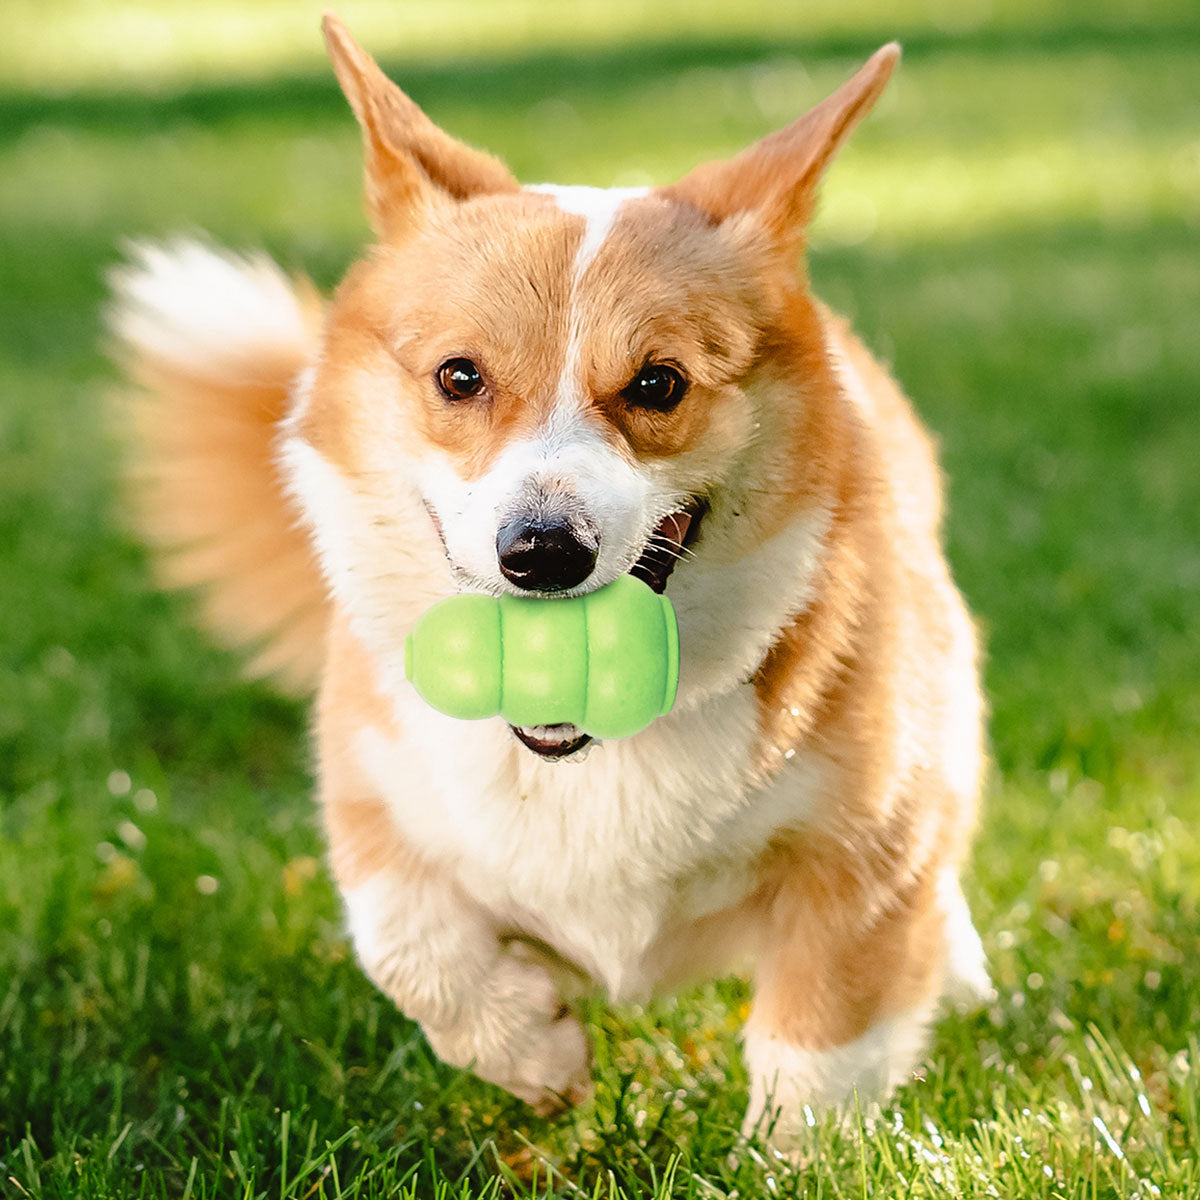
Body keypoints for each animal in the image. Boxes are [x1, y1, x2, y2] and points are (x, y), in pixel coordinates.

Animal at [108, 16, 988, 1142]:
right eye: (459, 377)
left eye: (659, 383)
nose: (541, 552)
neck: (590, 750)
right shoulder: (376, 794)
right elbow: (408, 941)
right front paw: (531, 1050)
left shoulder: (865, 850)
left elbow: (822, 1044)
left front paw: (796, 1153)